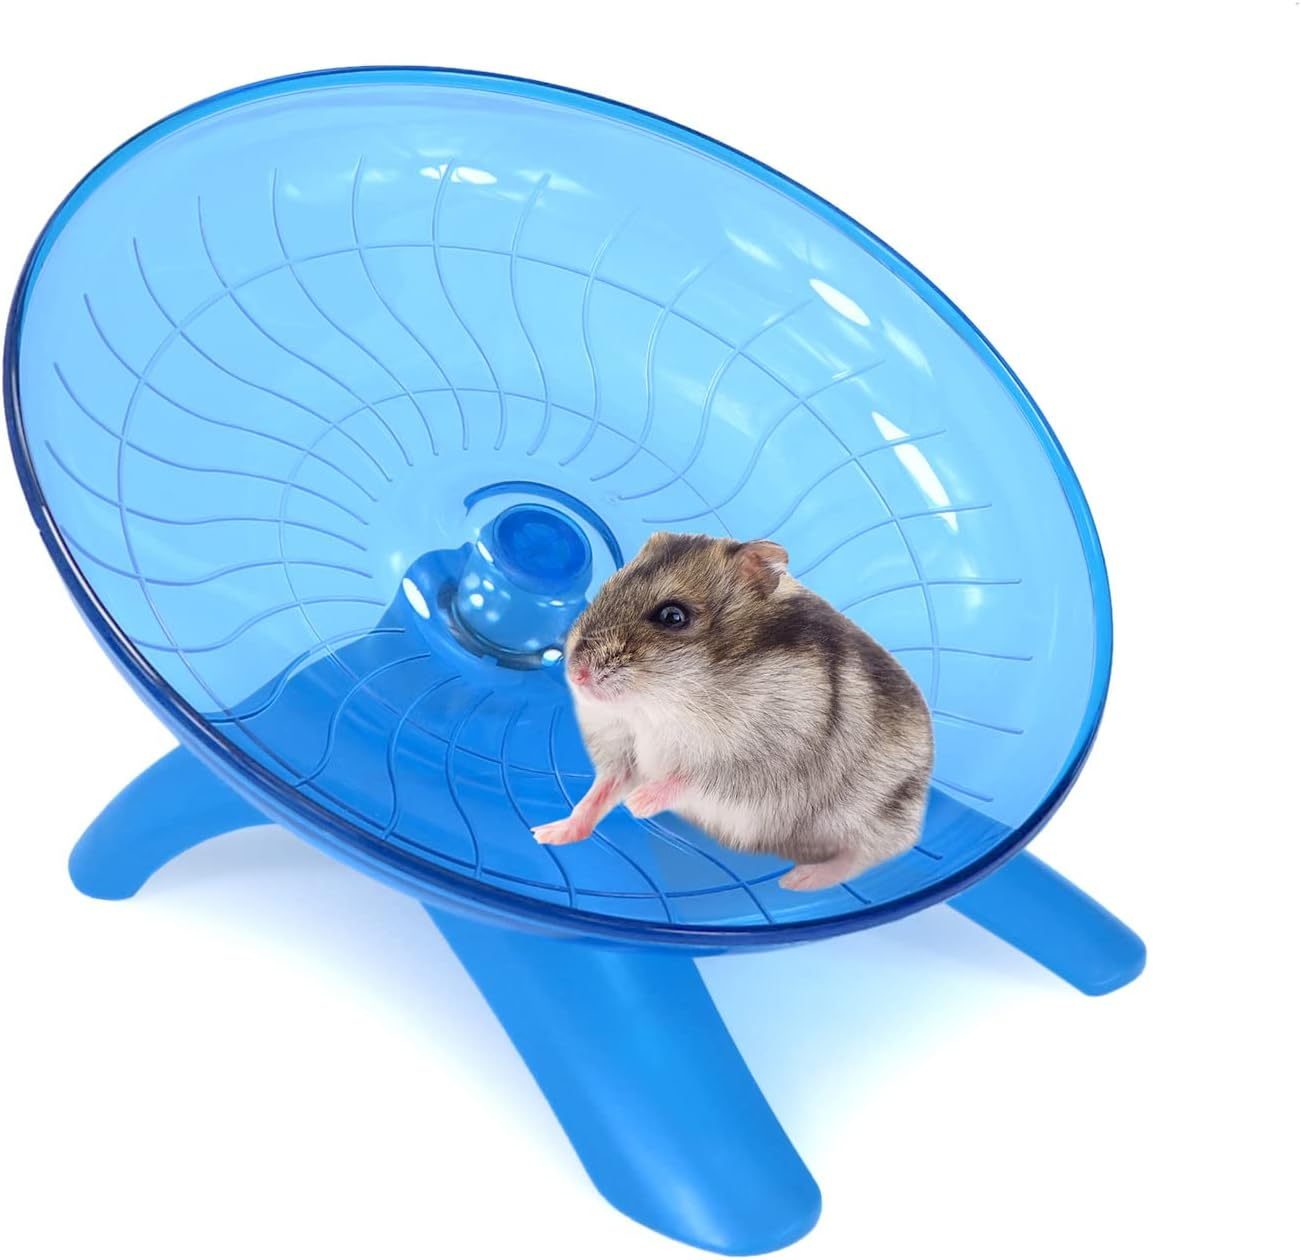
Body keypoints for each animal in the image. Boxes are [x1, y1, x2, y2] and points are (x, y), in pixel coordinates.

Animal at [531, 531, 934, 892]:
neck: (663, 703)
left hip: (873, 816)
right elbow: (599, 794)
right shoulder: (622, 752)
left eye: (673, 616)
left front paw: (638, 804)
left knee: (869, 854)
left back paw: (797, 881)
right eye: (606, 588)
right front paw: (544, 834)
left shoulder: (760, 757)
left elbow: (690, 776)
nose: (576, 674)